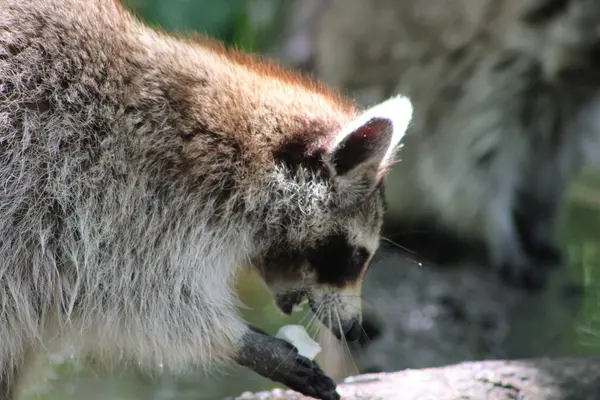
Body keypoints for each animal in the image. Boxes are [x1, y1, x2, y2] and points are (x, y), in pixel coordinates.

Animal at [382, 0, 600, 290]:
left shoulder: (570, 118)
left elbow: (553, 169)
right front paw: (503, 236)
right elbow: (473, 168)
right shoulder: (485, 81)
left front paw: (540, 224)